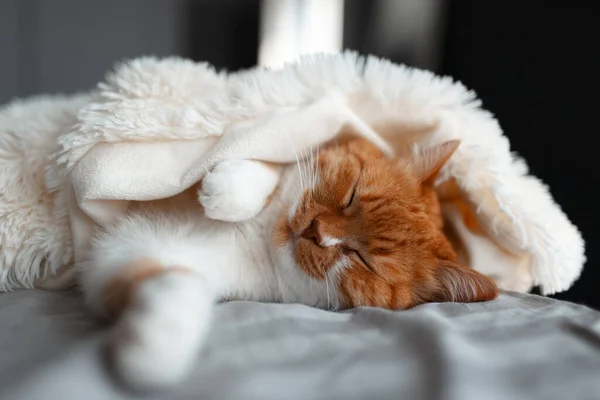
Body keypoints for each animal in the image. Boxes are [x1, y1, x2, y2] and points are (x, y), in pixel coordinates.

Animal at [82, 136, 500, 390]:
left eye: (362, 259)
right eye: (350, 195)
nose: (316, 232)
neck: (259, 239)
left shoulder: (120, 257)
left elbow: (185, 283)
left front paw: (156, 345)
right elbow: (268, 167)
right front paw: (230, 189)